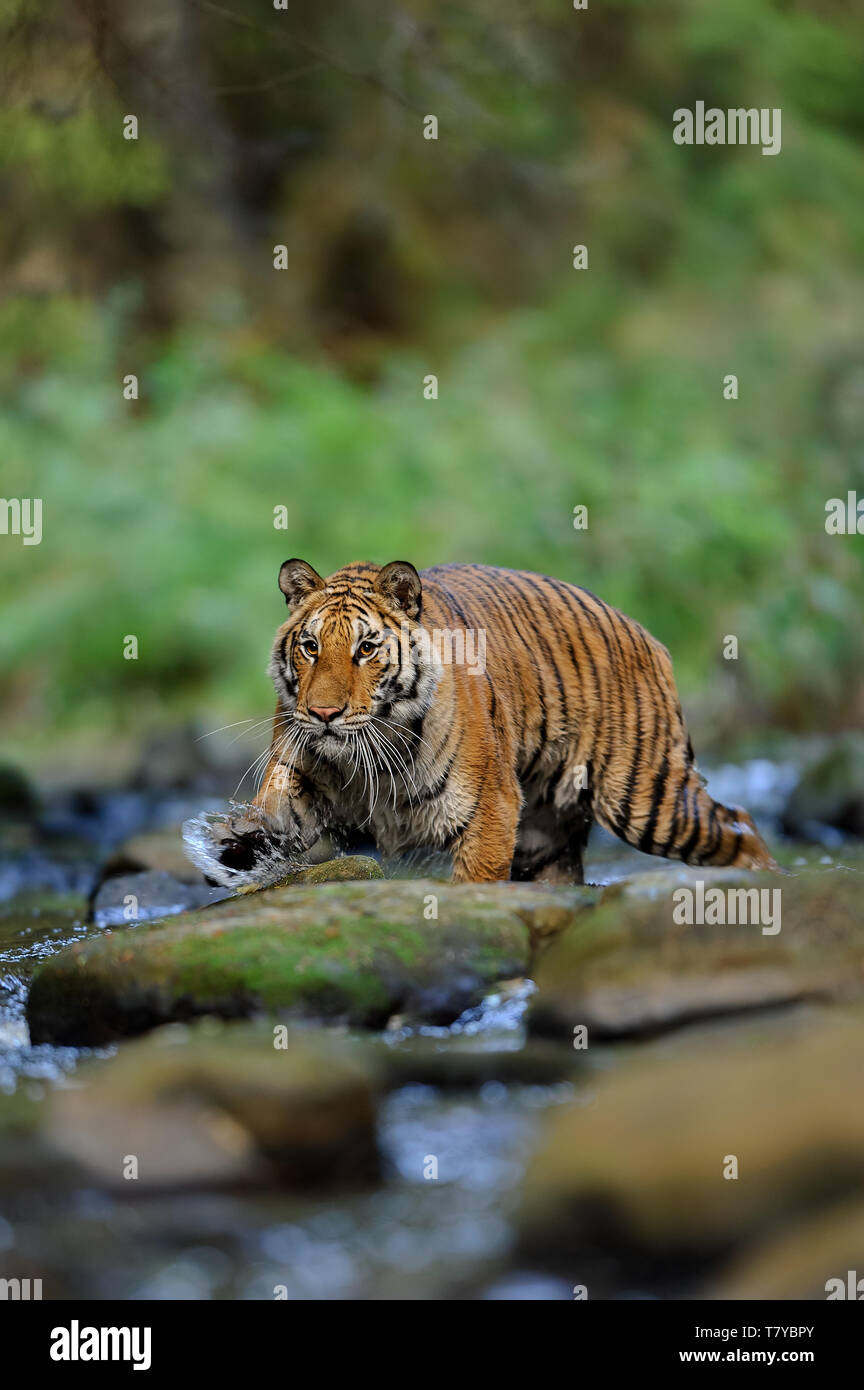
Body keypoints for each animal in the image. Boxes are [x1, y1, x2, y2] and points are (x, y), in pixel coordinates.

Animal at [184, 556, 777, 889]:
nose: (324, 713)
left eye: (366, 648)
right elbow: (278, 799)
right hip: (546, 835)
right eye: (309, 647)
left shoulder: (491, 807)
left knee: (740, 824)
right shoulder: (302, 764)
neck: (362, 754)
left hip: (645, 797)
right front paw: (243, 837)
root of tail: (644, 632)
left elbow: (476, 879)